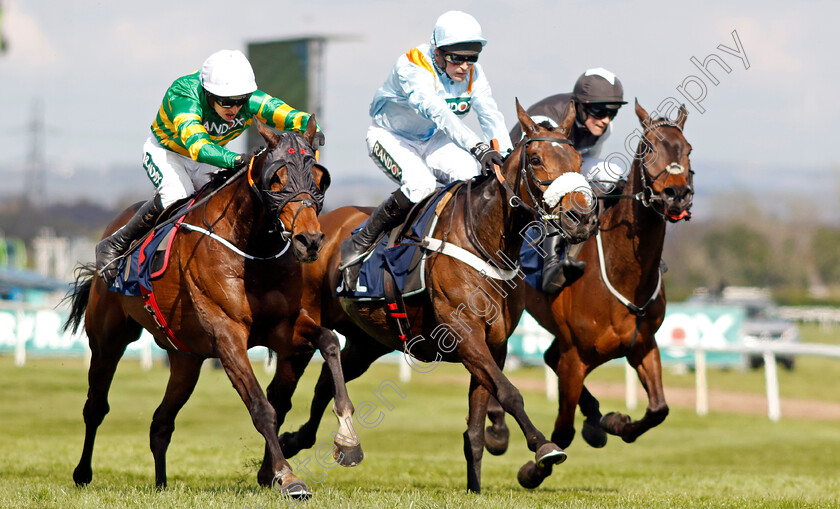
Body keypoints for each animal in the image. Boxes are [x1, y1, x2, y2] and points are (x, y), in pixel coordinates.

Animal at [61, 119, 358, 496]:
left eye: (319, 178)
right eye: (276, 178)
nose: (310, 240)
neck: (253, 250)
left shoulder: (283, 327)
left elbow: (330, 342)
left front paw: (348, 439)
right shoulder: (227, 333)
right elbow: (262, 408)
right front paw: (287, 477)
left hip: (185, 359)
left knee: (161, 423)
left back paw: (161, 484)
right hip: (108, 339)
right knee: (96, 406)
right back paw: (83, 473)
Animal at [266, 99, 600, 492]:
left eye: (577, 160)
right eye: (535, 159)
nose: (582, 218)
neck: (483, 241)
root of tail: (314, 231)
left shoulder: (494, 344)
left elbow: (477, 426)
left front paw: (475, 488)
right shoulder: (465, 335)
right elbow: (510, 393)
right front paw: (544, 447)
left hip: (366, 341)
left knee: (322, 385)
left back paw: (306, 442)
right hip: (303, 329)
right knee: (281, 392)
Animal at [482, 100, 692, 488]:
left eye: (687, 150)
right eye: (648, 148)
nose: (676, 194)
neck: (625, 274)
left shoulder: (643, 345)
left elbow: (659, 409)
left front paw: (616, 422)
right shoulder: (575, 357)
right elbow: (562, 431)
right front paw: (532, 471)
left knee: (548, 357)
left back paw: (596, 421)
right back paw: (498, 428)